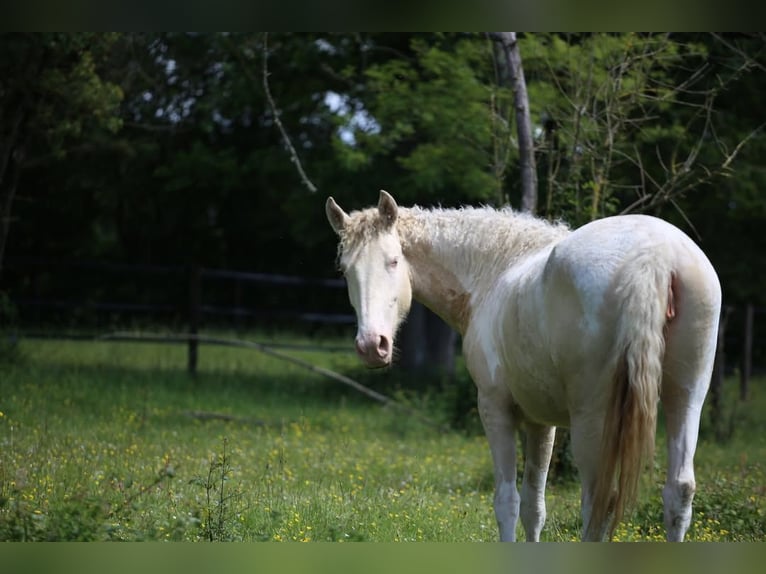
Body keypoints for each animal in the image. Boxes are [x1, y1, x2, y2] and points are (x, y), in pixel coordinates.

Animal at [325, 190, 721, 542]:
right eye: (344, 271)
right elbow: (534, 508)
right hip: (686, 400)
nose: (371, 346)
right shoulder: (540, 421)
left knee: (598, 502)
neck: (497, 269)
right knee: (678, 492)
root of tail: (653, 255)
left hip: (593, 418)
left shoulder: (495, 407)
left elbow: (508, 503)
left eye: (393, 261)